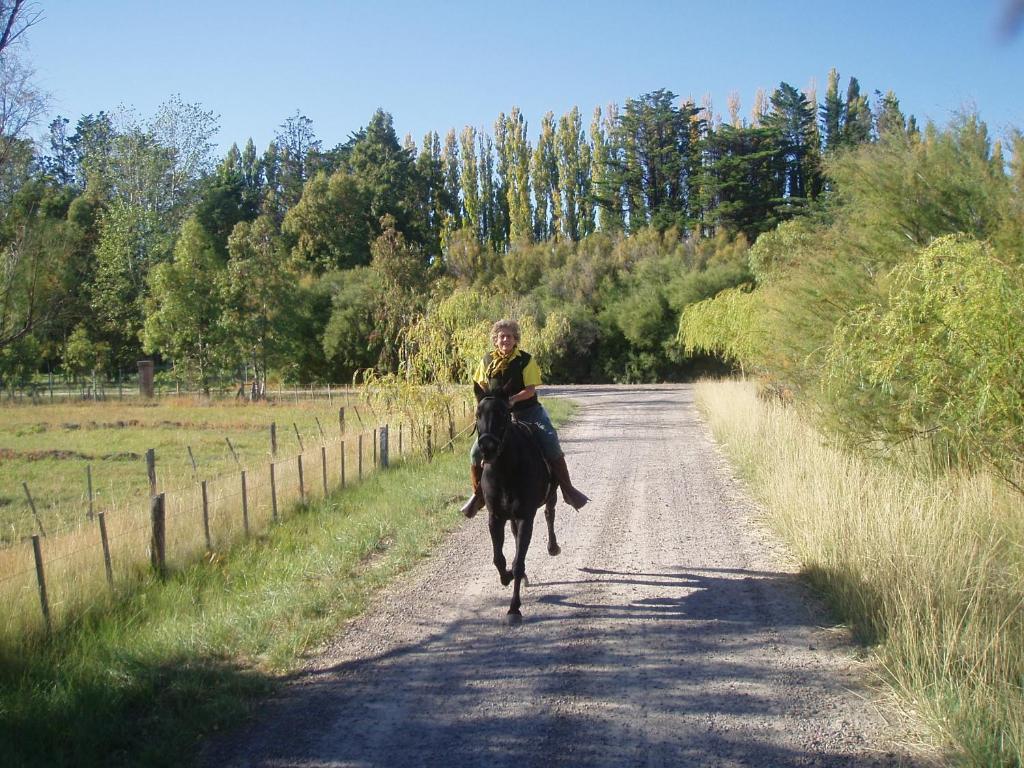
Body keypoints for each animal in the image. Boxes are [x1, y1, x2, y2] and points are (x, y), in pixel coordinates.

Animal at [471, 385, 561, 626]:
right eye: (478, 414)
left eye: (503, 414)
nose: (487, 447)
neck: (505, 470)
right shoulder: (495, 517)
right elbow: (499, 558)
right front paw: (506, 576)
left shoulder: (525, 518)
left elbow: (519, 562)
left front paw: (514, 609)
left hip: (551, 494)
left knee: (550, 514)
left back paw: (553, 547)